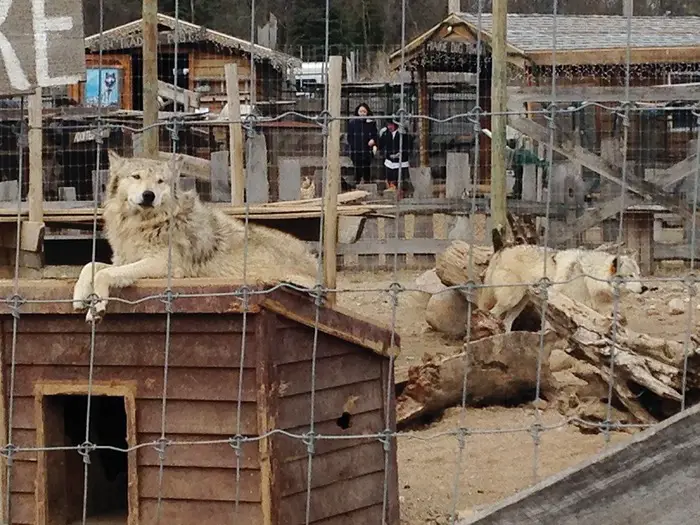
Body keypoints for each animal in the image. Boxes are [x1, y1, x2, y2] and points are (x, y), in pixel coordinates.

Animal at [72, 151, 318, 322]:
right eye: (136, 177)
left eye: (160, 181)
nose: (149, 195)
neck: (144, 224)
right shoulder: (124, 261)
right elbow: (90, 266)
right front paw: (78, 295)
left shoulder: (162, 265)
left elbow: (103, 274)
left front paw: (96, 307)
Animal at [478, 243, 644, 332]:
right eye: (630, 276)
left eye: (639, 274)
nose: (644, 288)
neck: (590, 278)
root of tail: (500, 251)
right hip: (511, 300)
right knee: (492, 314)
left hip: (520, 303)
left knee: (506, 322)